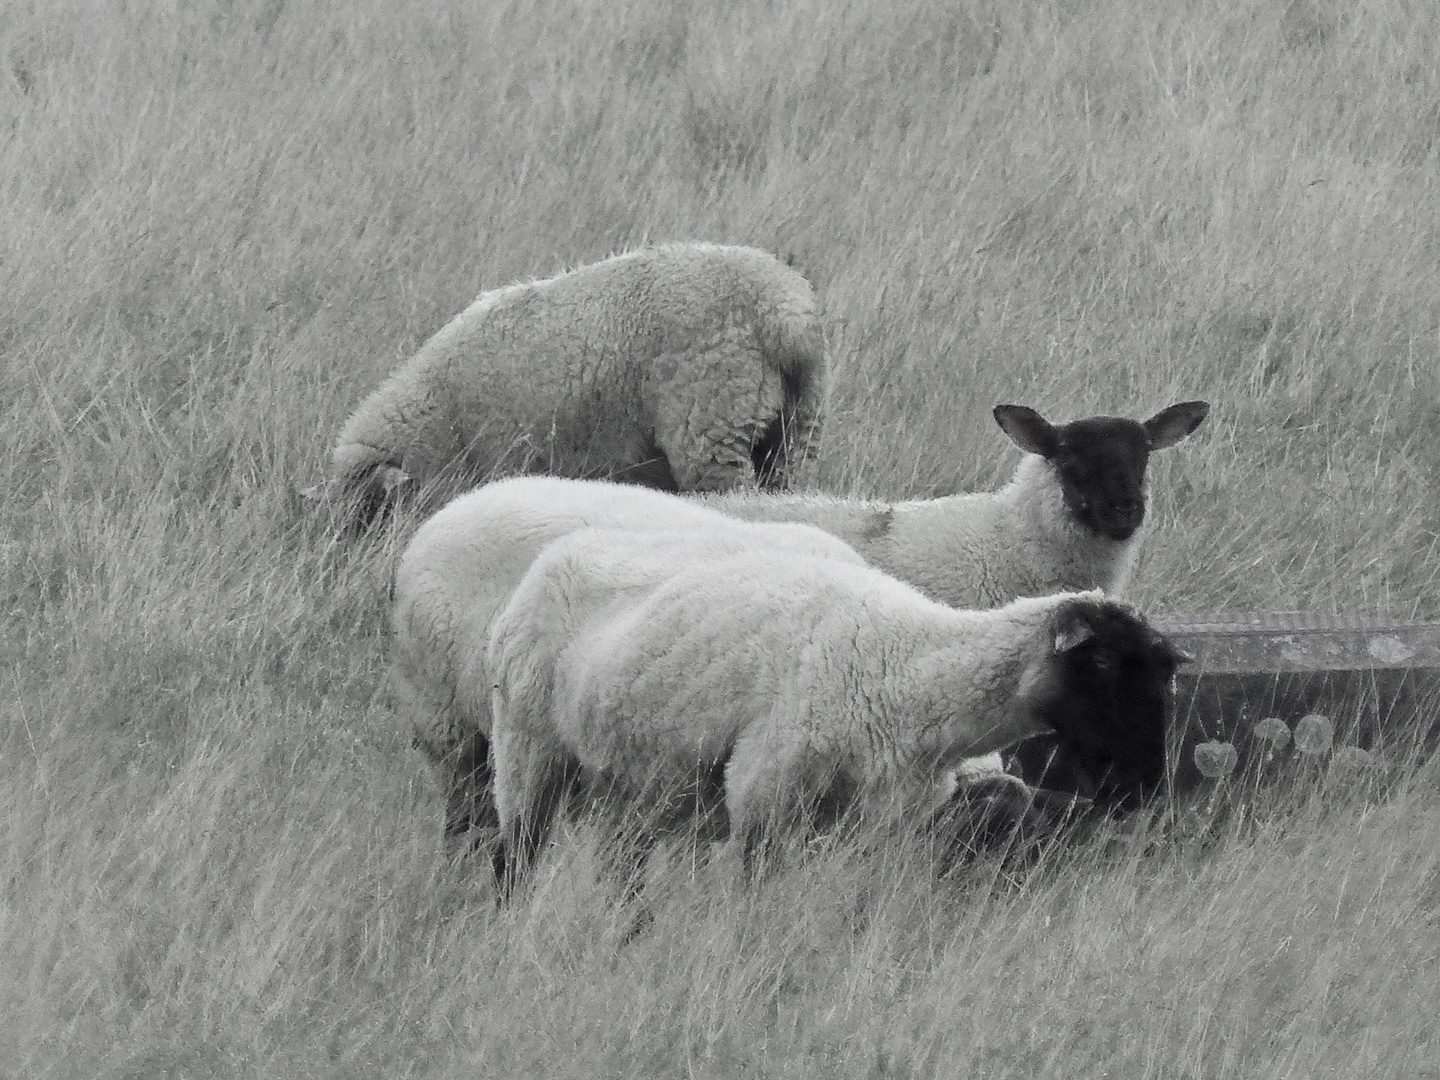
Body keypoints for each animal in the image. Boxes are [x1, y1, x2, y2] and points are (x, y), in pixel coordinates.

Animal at [489, 527, 1186, 898]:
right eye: (1101, 663)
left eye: (1164, 674)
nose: (1144, 784)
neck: (904, 662)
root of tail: (559, 553)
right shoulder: (763, 796)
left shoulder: (882, 823)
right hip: (528, 747)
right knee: (513, 858)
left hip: (631, 790)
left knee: (621, 875)